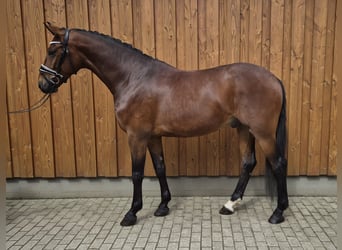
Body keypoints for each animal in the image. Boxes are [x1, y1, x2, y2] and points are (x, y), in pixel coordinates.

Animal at [38, 23, 288, 227]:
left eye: (53, 51)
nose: (43, 84)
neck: (133, 78)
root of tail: (274, 78)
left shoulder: (136, 136)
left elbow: (137, 173)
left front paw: (132, 213)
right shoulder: (152, 136)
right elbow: (160, 167)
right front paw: (162, 206)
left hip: (263, 132)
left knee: (278, 164)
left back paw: (277, 213)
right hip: (244, 129)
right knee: (248, 163)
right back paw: (229, 205)